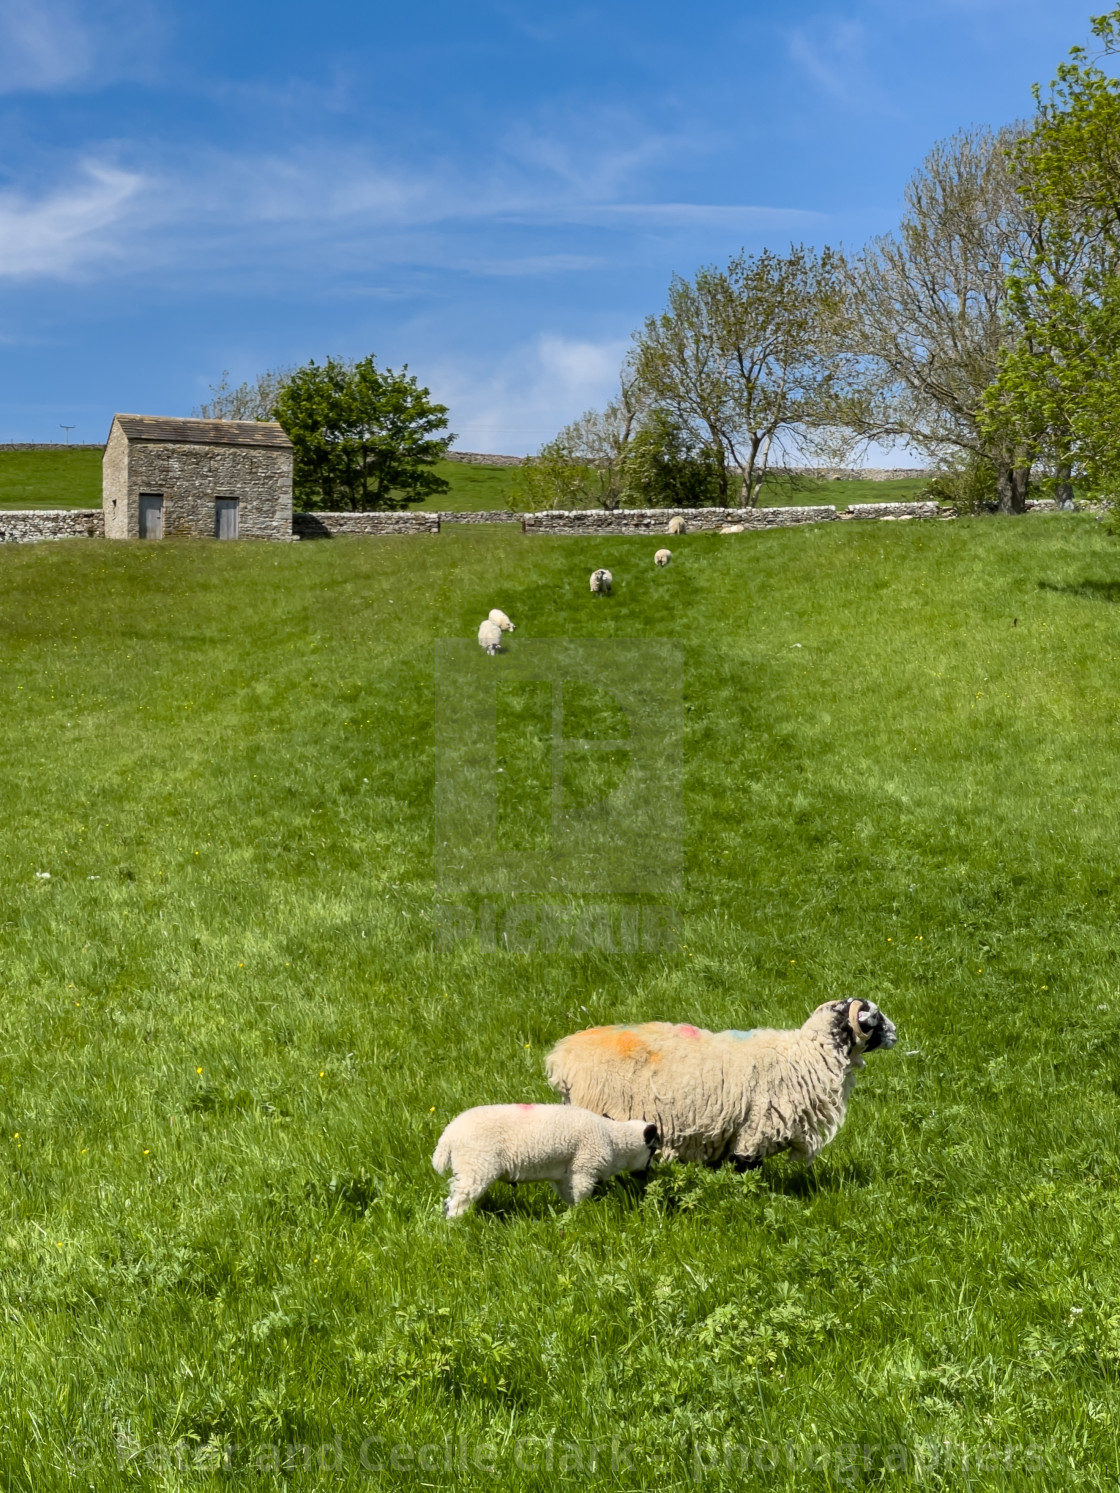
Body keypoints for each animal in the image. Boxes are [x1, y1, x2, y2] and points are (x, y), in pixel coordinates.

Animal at [430, 1104, 657, 1218]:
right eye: (654, 1149)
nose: (647, 1175)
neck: (612, 1137)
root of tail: (448, 1136)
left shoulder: (563, 1175)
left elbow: (569, 1196)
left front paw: (570, 1216)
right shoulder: (584, 1167)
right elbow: (582, 1195)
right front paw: (583, 1216)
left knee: (449, 1201)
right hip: (476, 1164)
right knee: (457, 1204)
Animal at [549, 997, 901, 1170]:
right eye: (876, 1017)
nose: (897, 1034)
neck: (806, 1054)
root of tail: (560, 1059)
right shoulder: (755, 1130)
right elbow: (747, 1170)